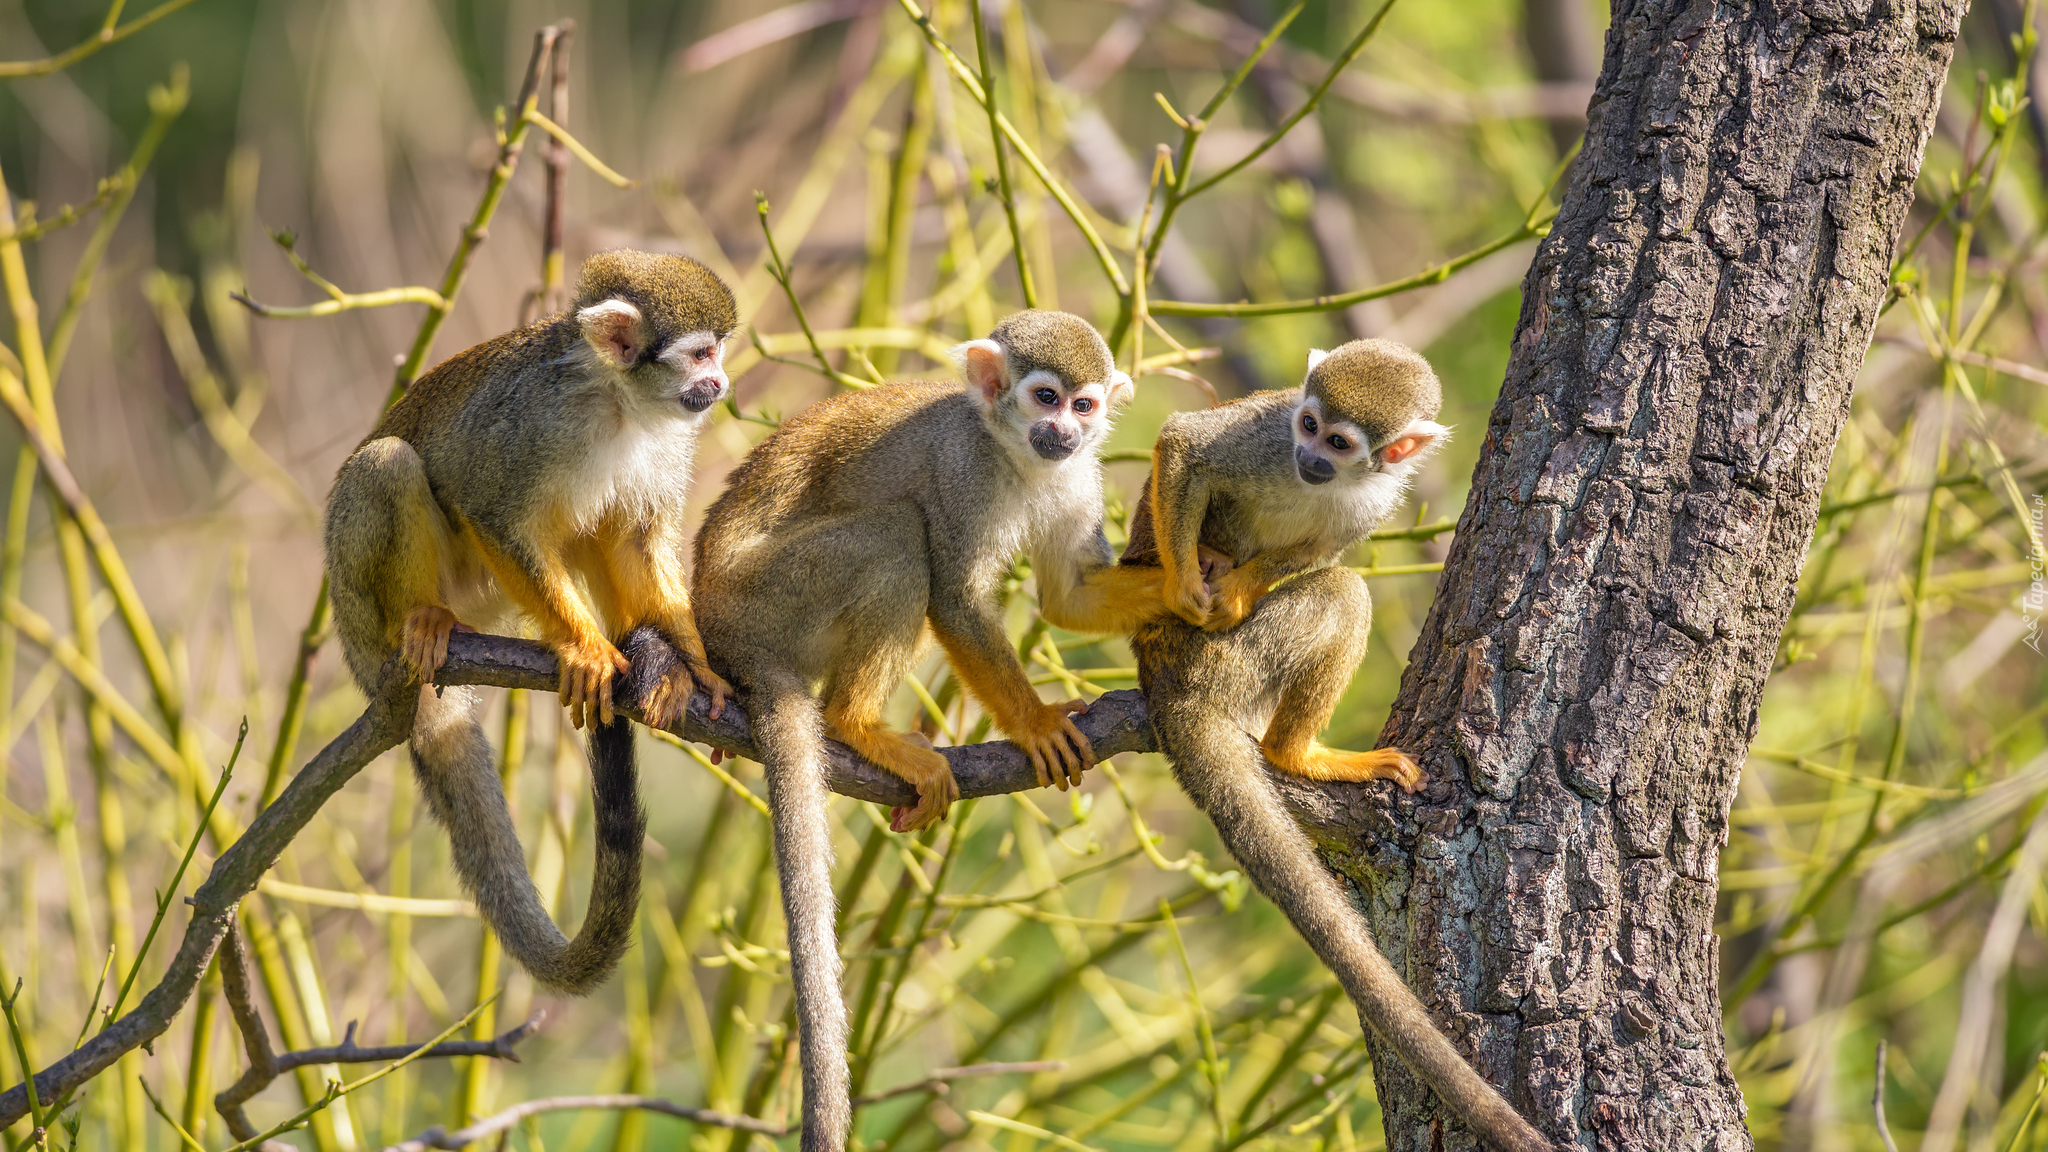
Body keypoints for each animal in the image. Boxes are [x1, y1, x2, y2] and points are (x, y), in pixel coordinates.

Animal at [319, 251, 737, 996]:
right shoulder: (534, 422)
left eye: (719, 352)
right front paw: (586, 649)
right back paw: (422, 621)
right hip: (358, 597)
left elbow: (635, 539)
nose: (718, 383)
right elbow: (489, 509)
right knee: (388, 463)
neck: (618, 403)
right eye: (699, 354)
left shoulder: (666, 441)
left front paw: (698, 664)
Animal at [692, 309, 1163, 1147]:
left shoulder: (1079, 477)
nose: (1063, 431)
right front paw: (1035, 723)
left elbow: (1071, 597)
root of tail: (719, 629)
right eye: (1044, 397)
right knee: (896, 533)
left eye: (1084, 406)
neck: (1012, 455)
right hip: (771, 601)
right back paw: (855, 722)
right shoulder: (960, 472)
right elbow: (954, 596)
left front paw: (1202, 586)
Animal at [1122, 338, 1548, 1147]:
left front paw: (1236, 586)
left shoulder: (1375, 496)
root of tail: (1161, 675)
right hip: (1224, 662)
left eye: (1342, 443)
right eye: (1310, 424)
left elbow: (1322, 546)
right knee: (1343, 593)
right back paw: (1293, 747)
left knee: (1333, 578)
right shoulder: (1264, 432)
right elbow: (1186, 444)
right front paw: (1191, 587)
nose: (1310, 456)